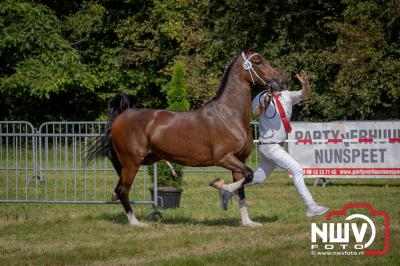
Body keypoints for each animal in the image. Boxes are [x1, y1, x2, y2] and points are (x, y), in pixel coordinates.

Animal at [86, 42, 284, 227]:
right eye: (258, 62)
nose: (280, 81)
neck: (228, 115)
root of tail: (123, 115)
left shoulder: (239, 160)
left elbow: (242, 189)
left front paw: (248, 222)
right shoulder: (223, 158)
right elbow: (248, 176)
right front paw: (220, 188)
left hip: (141, 160)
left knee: (120, 189)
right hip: (131, 162)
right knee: (122, 190)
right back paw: (137, 223)